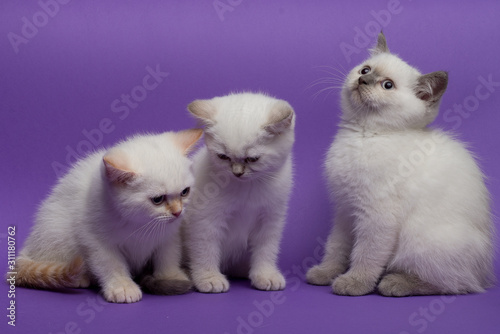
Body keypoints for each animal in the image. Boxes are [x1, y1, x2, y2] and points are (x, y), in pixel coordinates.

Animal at [15, 130, 203, 302]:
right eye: (157, 199)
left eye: (185, 192)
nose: (178, 212)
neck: (140, 222)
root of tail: (29, 247)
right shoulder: (95, 239)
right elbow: (111, 264)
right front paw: (122, 286)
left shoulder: (170, 235)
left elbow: (168, 255)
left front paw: (170, 275)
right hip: (56, 231)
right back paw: (80, 278)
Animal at [184, 91, 294, 292]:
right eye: (223, 156)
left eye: (252, 159)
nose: (237, 173)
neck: (248, 188)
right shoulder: (204, 220)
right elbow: (205, 250)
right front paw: (209, 277)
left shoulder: (271, 219)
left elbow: (266, 249)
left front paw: (265, 274)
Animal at [306, 32, 494, 296]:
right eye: (366, 70)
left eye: (387, 85)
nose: (363, 80)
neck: (363, 135)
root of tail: (484, 272)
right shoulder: (344, 211)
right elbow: (336, 247)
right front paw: (325, 273)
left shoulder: (376, 215)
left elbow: (366, 254)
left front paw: (354, 283)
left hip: (420, 240)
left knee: (455, 284)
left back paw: (396, 283)